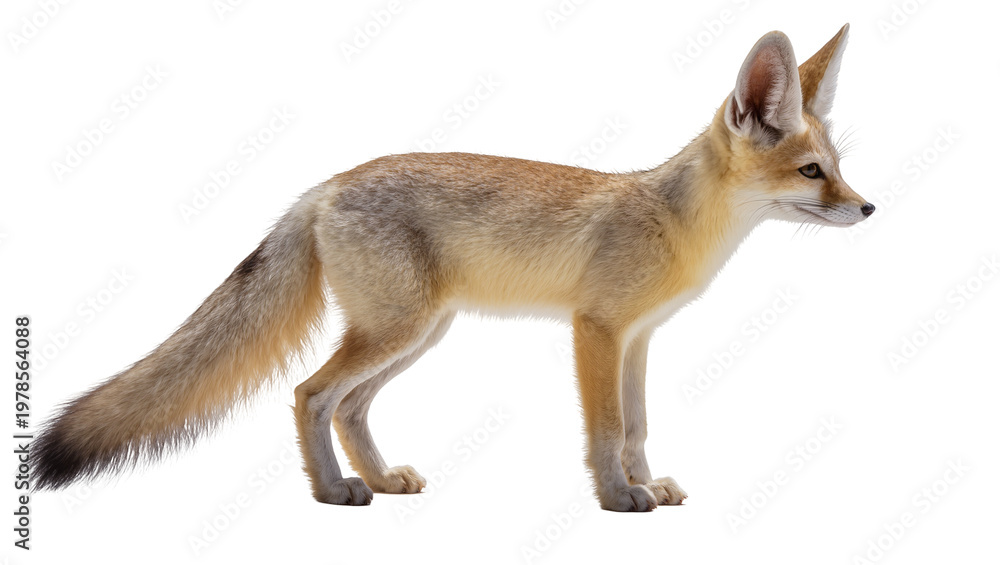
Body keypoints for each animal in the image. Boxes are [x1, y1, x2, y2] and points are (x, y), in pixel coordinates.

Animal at [34, 25, 871, 512]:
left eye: (836, 168)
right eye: (810, 173)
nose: (868, 208)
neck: (674, 219)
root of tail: (324, 185)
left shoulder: (638, 338)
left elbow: (636, 424)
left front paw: (646, 481)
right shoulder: (595, 330)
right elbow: (605, 428)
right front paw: (615, 495)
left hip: (420, 333)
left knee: (347, 406)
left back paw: (376, 480)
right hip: (397, 330)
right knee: (310, 393)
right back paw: (334, 490)